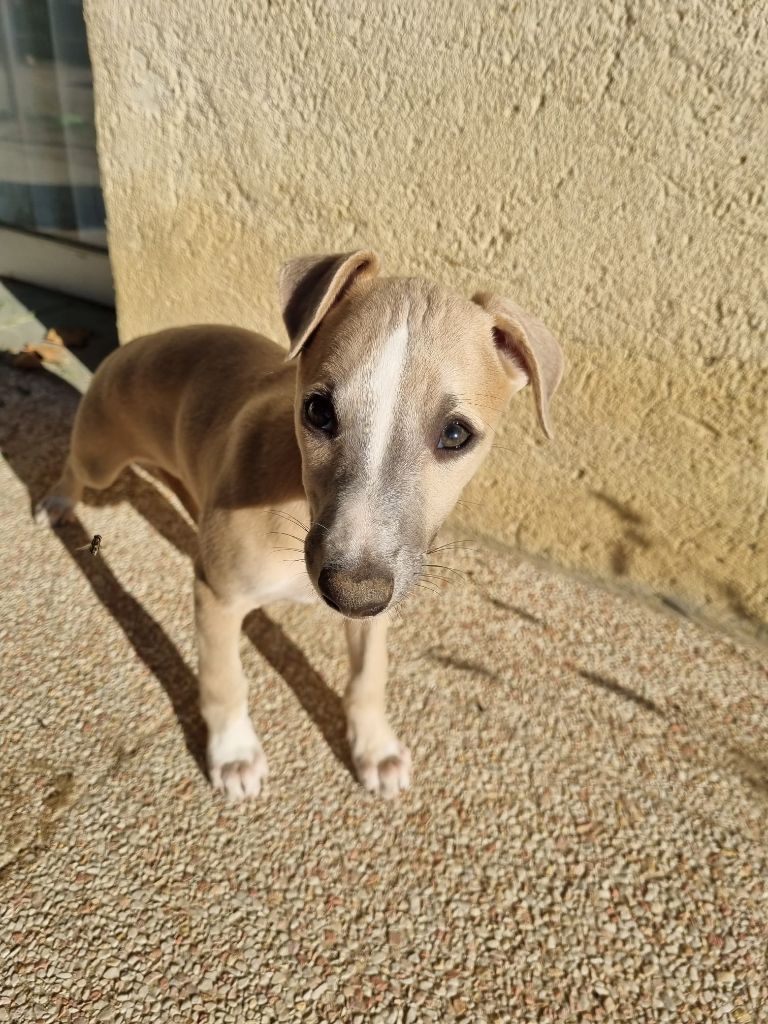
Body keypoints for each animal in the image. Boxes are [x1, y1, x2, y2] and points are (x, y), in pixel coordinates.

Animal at [36, 250, 563, 800]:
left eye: (456, 434)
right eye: (318, 410)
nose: (351, 594)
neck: (294, 501)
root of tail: (135, 343)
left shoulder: (379, 594)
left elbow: (368, 675)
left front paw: (374, 747)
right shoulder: (217, 595)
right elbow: (224, 677)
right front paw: (234, 752)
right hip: (100, 456)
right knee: (75, 464)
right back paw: (57, 501)